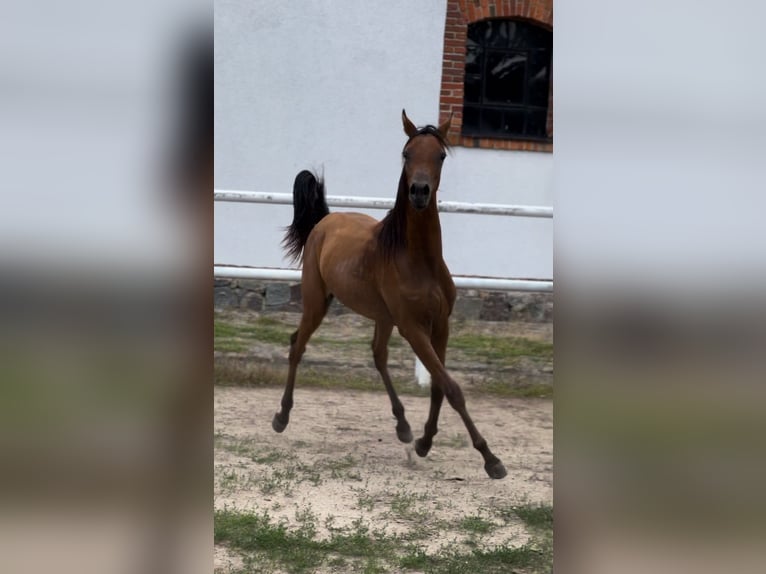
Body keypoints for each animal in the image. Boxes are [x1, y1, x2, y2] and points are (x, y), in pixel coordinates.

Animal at [272, 110, 508, 480]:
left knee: (377, 355)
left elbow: (439, 385)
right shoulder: (413, 328)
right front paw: (491, 459)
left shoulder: (440, 325)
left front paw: (424, 442)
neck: (417, 259)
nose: (419, 192)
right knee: (297, 345)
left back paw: (403, 426)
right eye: (406, 153)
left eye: (440, 155)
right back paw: (281, 417)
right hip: (316, 302)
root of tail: (325, 221)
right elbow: (452, 388)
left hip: (381, 317)